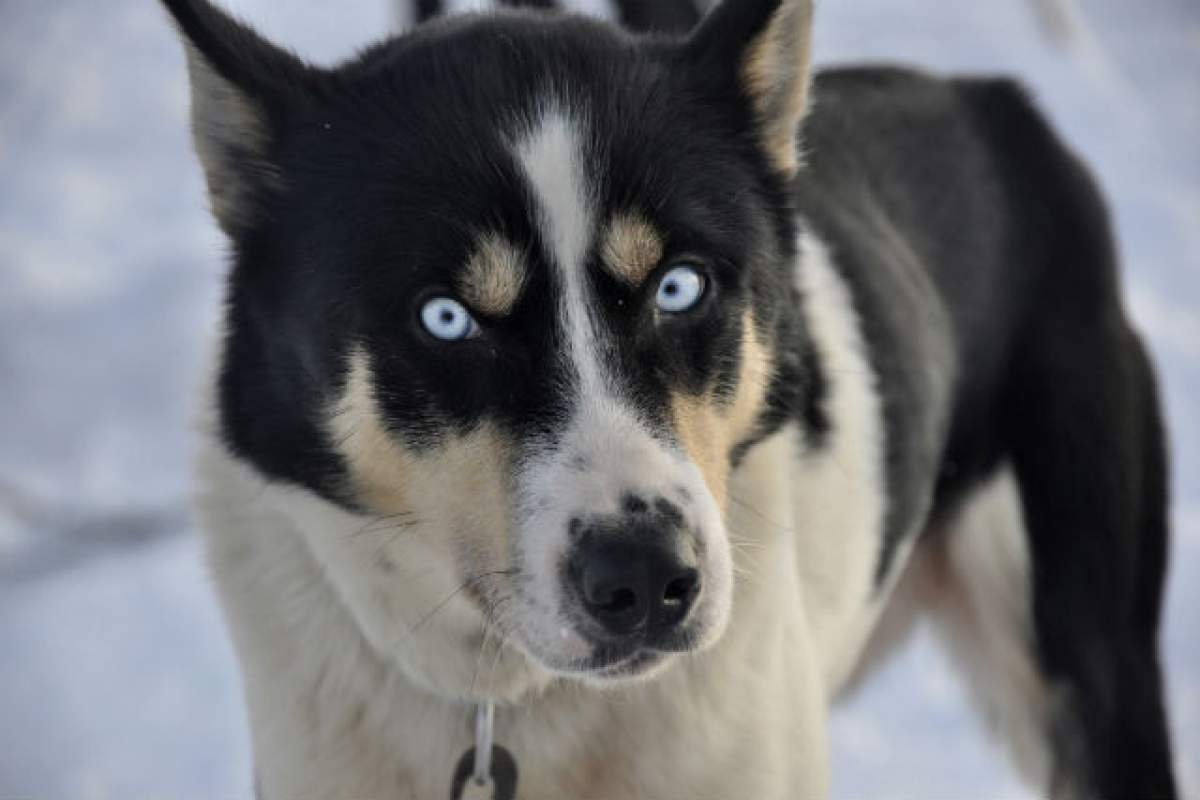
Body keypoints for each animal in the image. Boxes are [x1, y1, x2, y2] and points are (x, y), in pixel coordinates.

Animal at [162, 0, 1180, 796]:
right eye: (446, 318)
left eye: (679, 286)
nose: (648, 577)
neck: (510, 708)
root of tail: (994, 98)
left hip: (1085, 659)